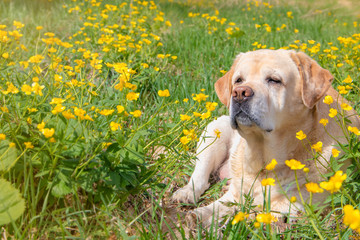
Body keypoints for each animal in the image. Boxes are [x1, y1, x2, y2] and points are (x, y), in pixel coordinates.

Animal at [172, 49, 360, 226]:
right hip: (214, 132)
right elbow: (220, 205)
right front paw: (199, 216)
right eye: (238, 80)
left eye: (274, 80)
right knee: (200, 176)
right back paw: (186, 193)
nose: (239, 92)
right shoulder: (236, 192)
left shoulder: (300, 203)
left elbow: (266, 210)